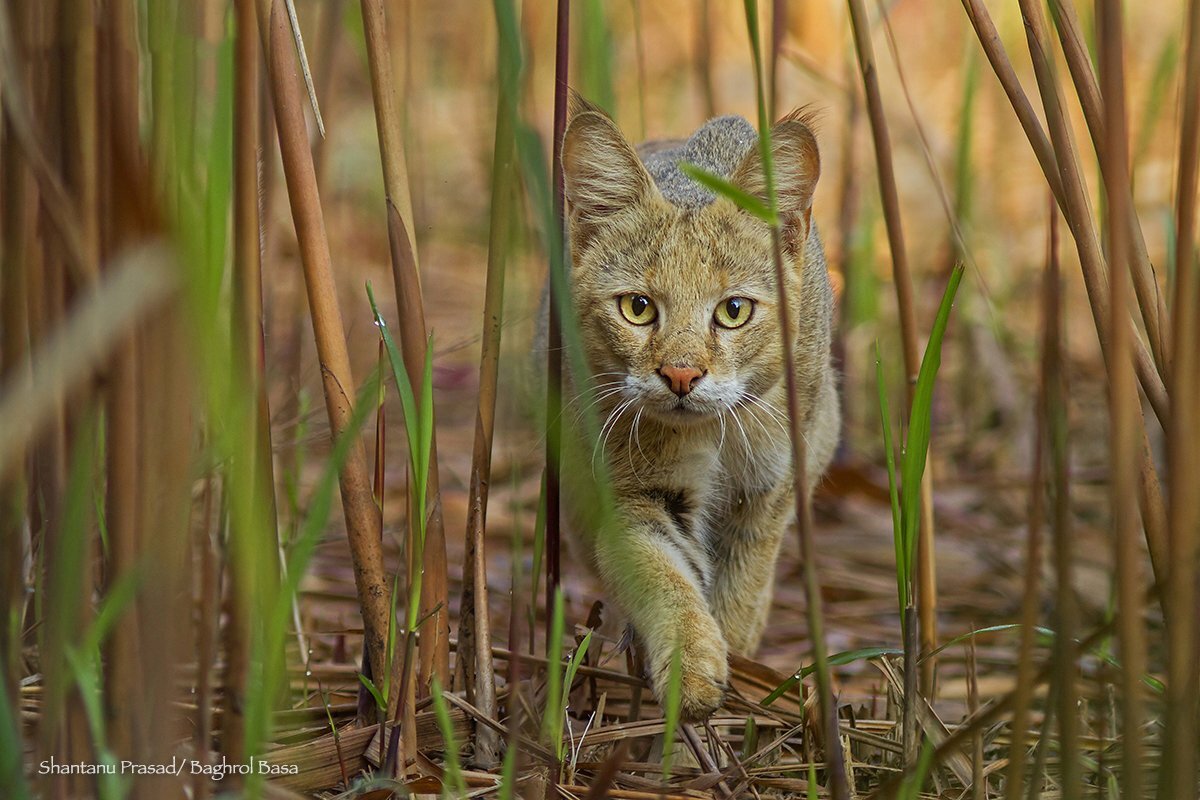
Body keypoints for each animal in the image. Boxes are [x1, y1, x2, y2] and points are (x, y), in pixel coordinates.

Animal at [556, 97, 840, 724]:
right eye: (638, 308)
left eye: (734, 311)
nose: (682, 376)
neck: (713, 434)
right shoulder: (632, 491)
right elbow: (662, 574)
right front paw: (691, 670)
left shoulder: (769, 487)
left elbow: (741, 589)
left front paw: (737, 678)